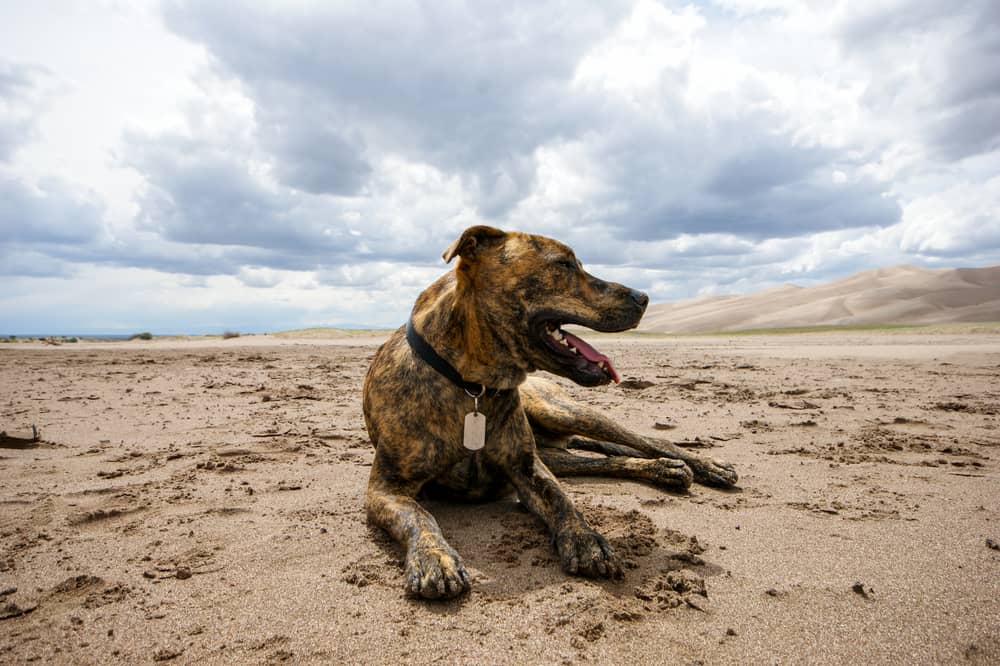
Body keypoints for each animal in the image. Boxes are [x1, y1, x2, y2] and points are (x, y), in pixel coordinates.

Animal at [364, 226, 740, 600]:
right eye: (564, 264)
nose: (644, 296)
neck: (472, 385)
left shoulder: (529, 469)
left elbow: (561, 499)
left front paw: (585, 539)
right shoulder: (385, 488)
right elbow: (419, 516)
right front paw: (435, 557)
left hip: (562, 411)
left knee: (643, 440)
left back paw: (705, 465)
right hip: (556, 451)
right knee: (604, 459)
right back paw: (664, 470)